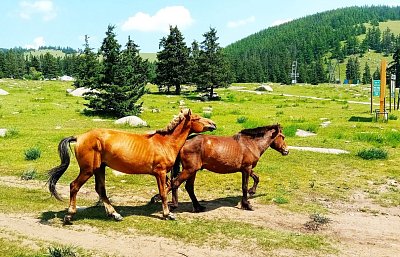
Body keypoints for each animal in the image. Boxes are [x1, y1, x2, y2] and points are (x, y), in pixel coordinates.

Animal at [47, 108, 216, 222]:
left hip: (99, 168)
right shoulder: (160, 173)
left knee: (101, 190)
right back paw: (69, 215)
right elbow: (163, 193)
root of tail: (79, 137)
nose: (213, 124)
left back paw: (115, 214)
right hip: (87, 170)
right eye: (197, 118)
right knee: (74, 186)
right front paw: (168, 214)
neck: (165, 143)